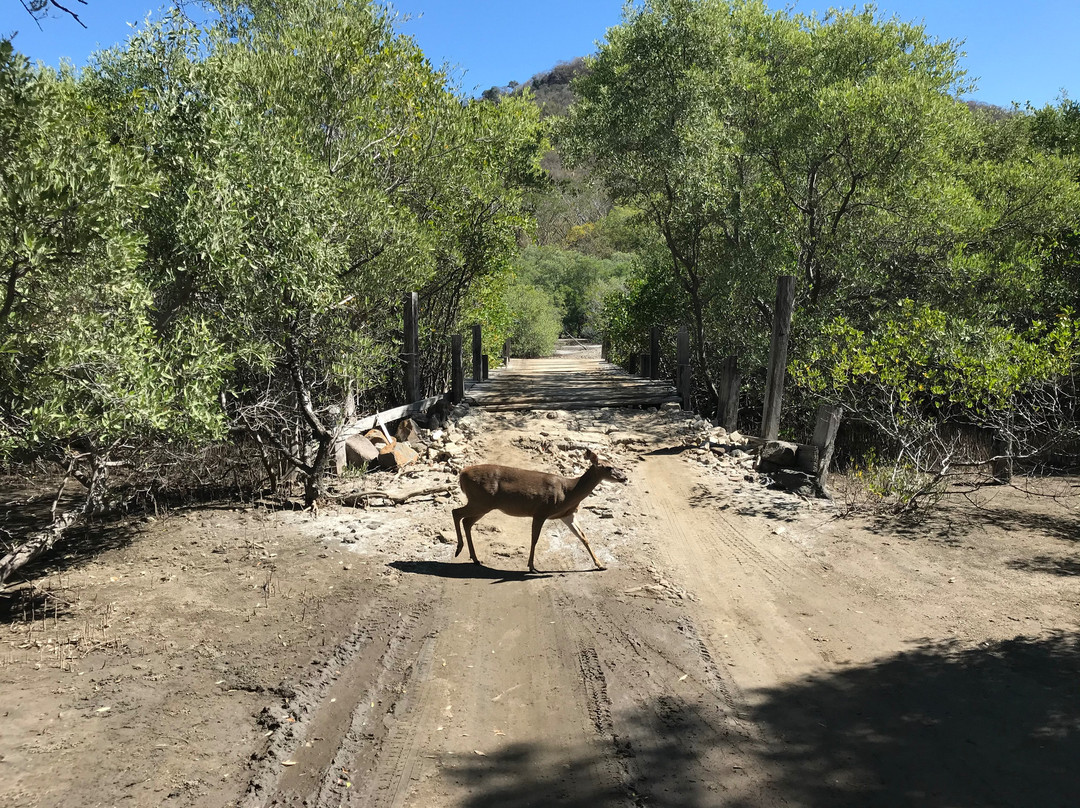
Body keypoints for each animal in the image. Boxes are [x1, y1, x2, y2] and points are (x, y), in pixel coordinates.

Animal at [451, 447, 630, 574]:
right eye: (609, 467)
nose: (625, 477)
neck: (568, 492)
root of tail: (462, 474)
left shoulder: (567, 515)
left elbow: (583, 537)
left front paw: (600, 565)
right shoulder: (541, 511)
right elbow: (534, 539)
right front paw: (531, 566)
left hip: (483, 504)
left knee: (466, 521)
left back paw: (474, 558)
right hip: (480, 501)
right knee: (456, 512)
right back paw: (459, 549)